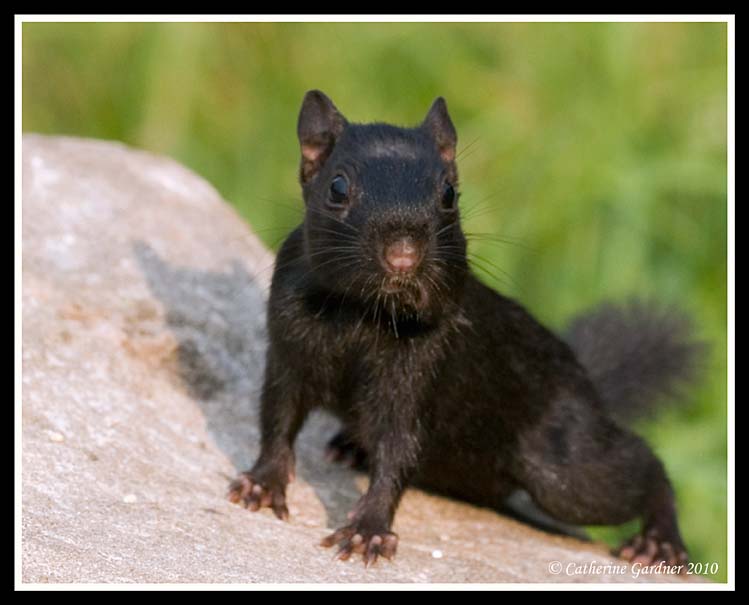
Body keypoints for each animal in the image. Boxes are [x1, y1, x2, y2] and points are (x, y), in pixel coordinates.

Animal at [226, 89, 700, 568]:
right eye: (337, 187)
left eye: (450, 193)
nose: (403, 256)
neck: (361, 312)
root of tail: (589, 384)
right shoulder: (287, 350)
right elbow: (278, 418)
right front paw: (261, 484)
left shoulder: (421, 374)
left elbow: (399, 451)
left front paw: (367, 531)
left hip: (561, 466)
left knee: (643, 469)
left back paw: (659, 541)